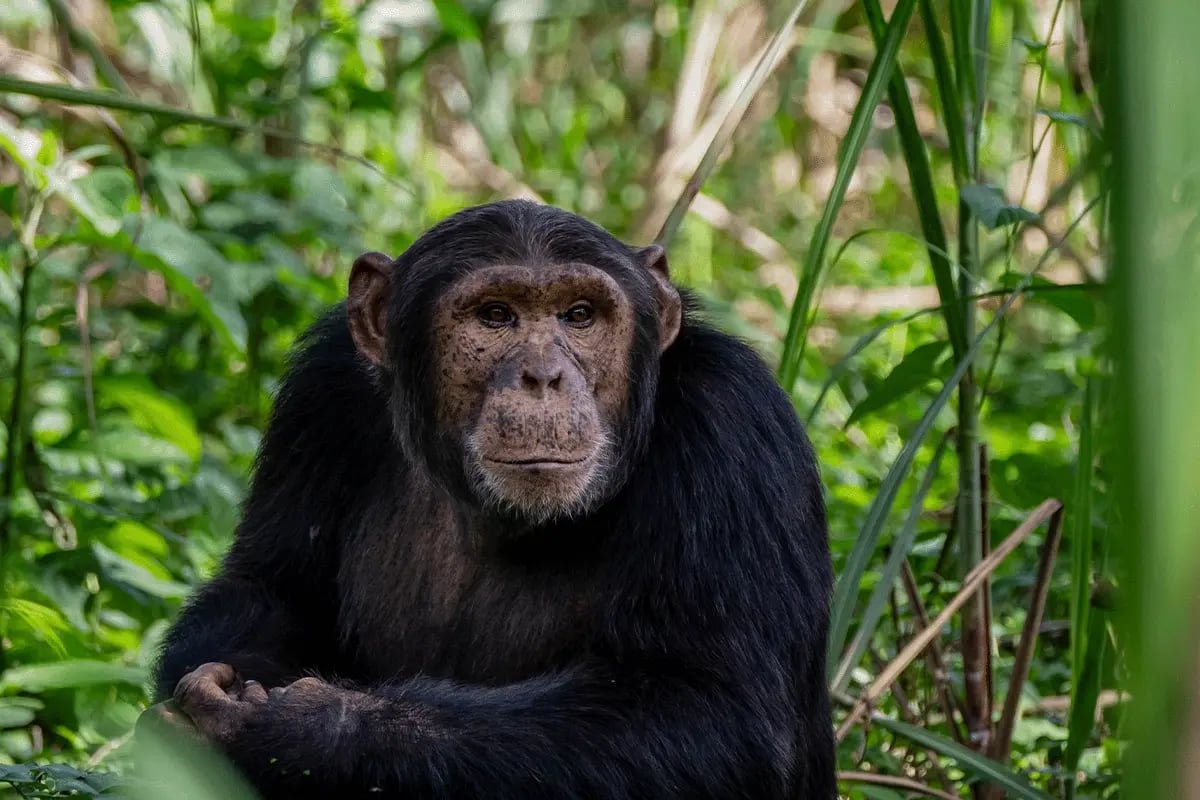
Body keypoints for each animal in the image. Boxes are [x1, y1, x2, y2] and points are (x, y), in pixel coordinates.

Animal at [140, 201, 835, 800]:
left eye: (579, 315)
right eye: (495, 316)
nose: (543, 376)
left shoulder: (734, 428)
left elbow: (713, 712)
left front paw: (298, 729)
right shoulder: (322, 390)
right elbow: (271, 584)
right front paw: (228, 680)